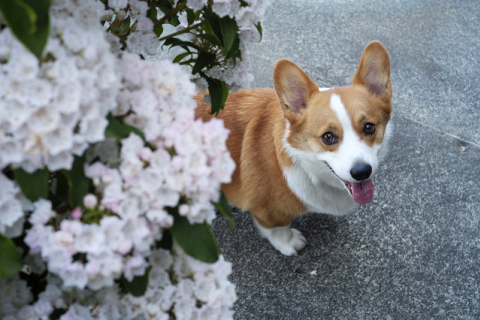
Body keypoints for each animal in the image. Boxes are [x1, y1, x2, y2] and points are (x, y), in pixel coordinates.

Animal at [195, 40, 394, 255]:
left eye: (369, 127)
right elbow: (278, 227)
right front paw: (288, 242)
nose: (362, 172)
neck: (304, 164)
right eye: (328, 137)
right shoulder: (268, 211)